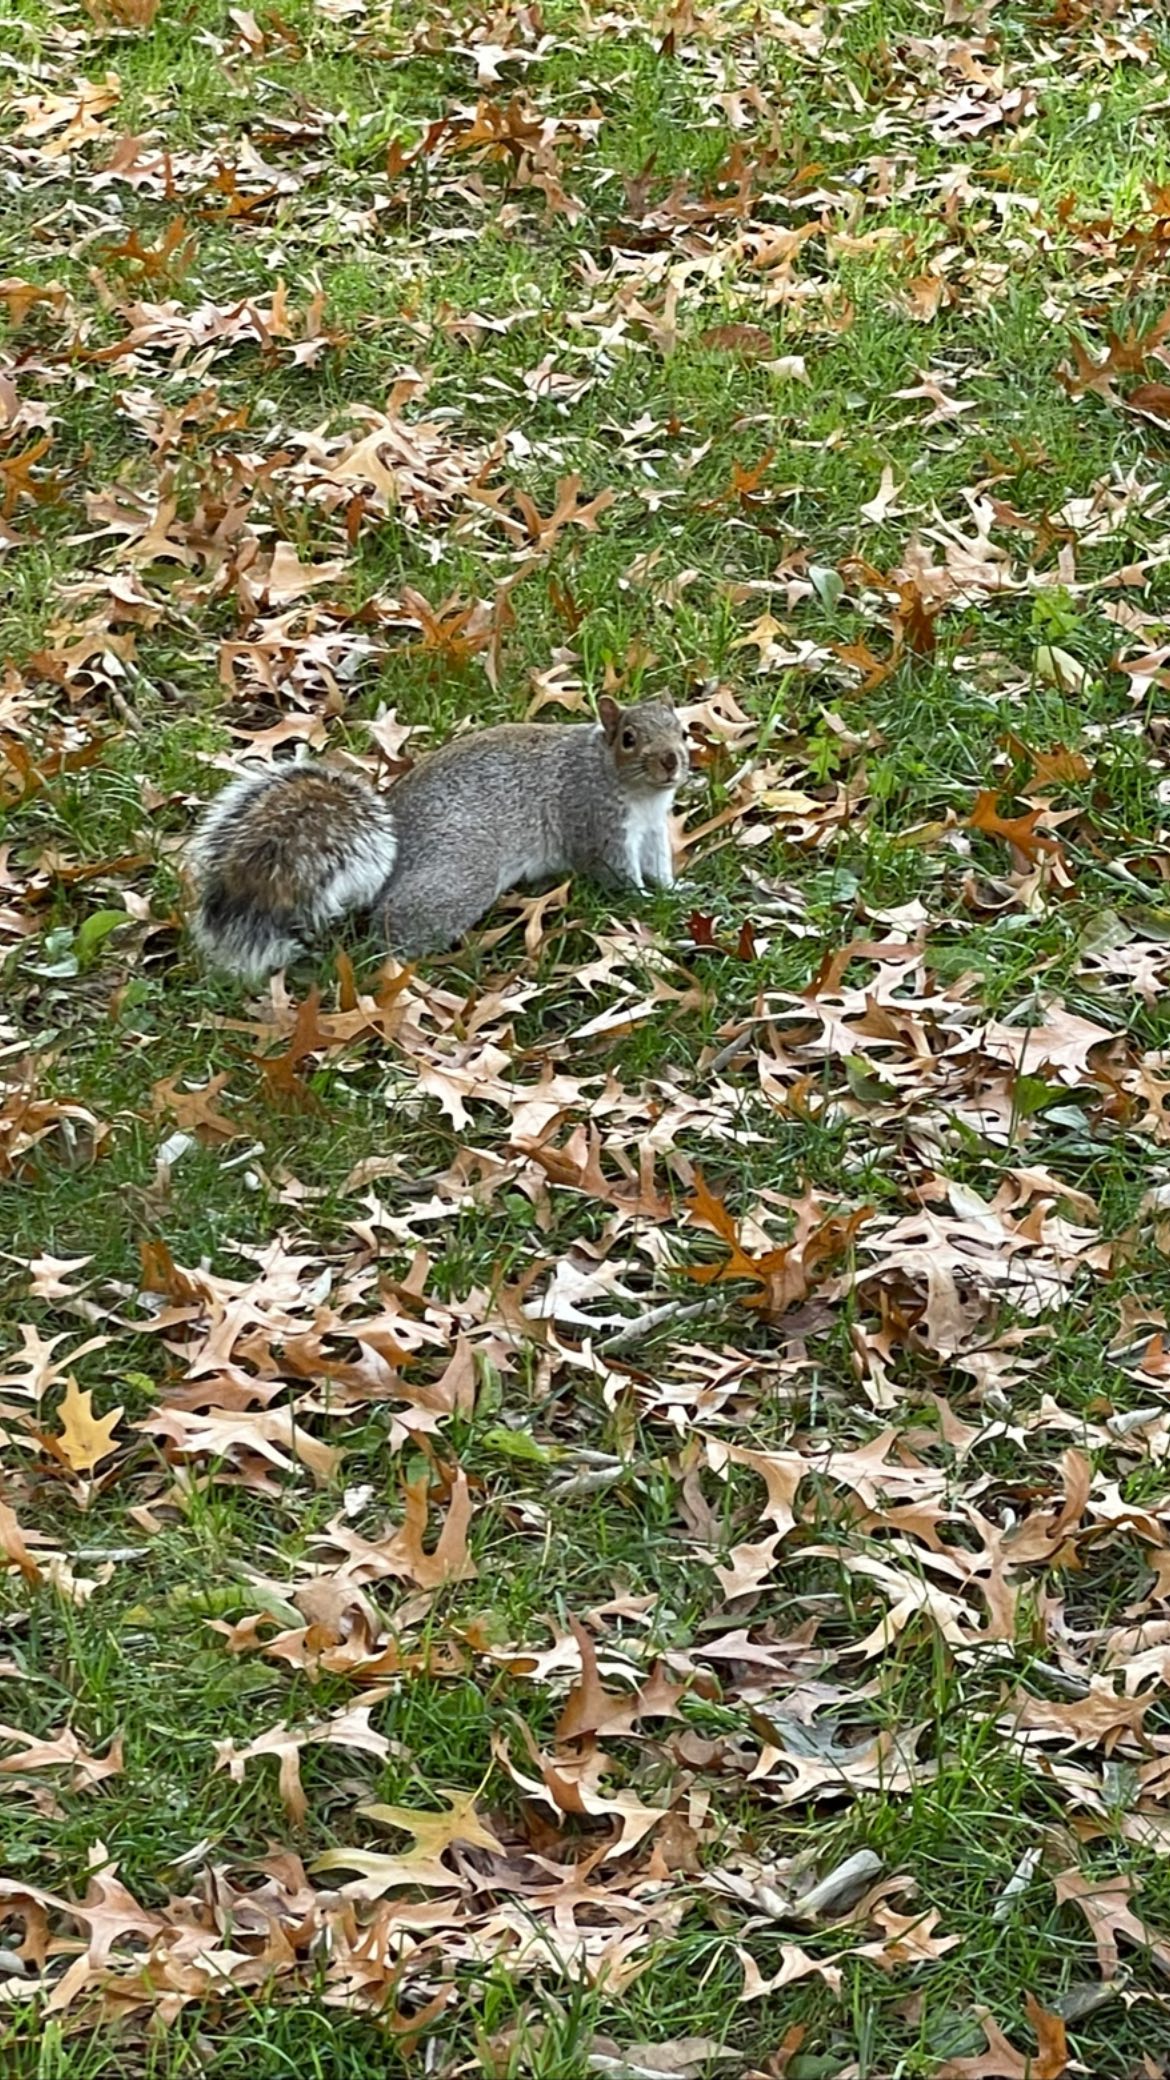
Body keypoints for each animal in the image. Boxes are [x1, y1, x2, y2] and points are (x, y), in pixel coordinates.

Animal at [184, 690, 682, 981]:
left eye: (682, 729)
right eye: (629, 738)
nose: (672, 760)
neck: (640, 795)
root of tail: (391, 849)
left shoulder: (653, 831)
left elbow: (659, 867)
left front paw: (676, 891)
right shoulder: (593, 818)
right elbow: (614, 873)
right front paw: (644, 902)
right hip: (460, 874)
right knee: (392, 934)